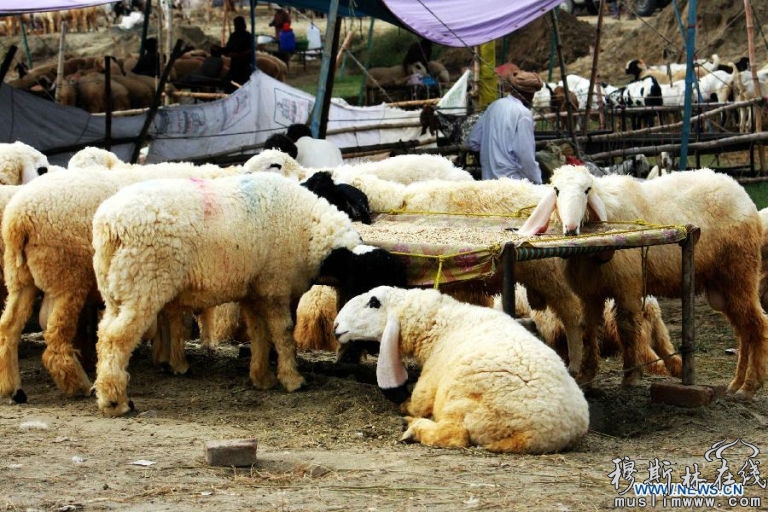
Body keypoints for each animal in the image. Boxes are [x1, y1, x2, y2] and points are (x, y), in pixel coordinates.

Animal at [91, 172, 408, 416]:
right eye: (372, 283)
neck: (310, 231)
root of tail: (110, 224)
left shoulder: (255, 291)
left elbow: (259, 333)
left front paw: (262, 378)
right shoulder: (274, 287)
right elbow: (282, 332)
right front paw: (292, 379)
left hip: (115, 288)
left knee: (103, 334)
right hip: (143, 283)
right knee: (117, 338)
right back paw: (115, 402)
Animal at [332, 286, 592, 454]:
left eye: (373, 302)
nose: (335, 325)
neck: (442, 323)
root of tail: (546, 435)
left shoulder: (432, 378)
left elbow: (418, 401)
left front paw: (405, 407)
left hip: (464, 397)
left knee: (454, 434)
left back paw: (413, 428)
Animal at [516, 166, 768, 398]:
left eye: (587, 190)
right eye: (556, 190)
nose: (570, 229)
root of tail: (737, 188)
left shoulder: (627, 286)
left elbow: (626, 328)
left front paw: (630, 376)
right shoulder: (590, 293)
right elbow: (589, 331)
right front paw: (587, 376)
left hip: (740, 272)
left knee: (758, 324)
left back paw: (749, 387)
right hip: (721, 288)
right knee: (744, 330)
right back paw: (736, 384)